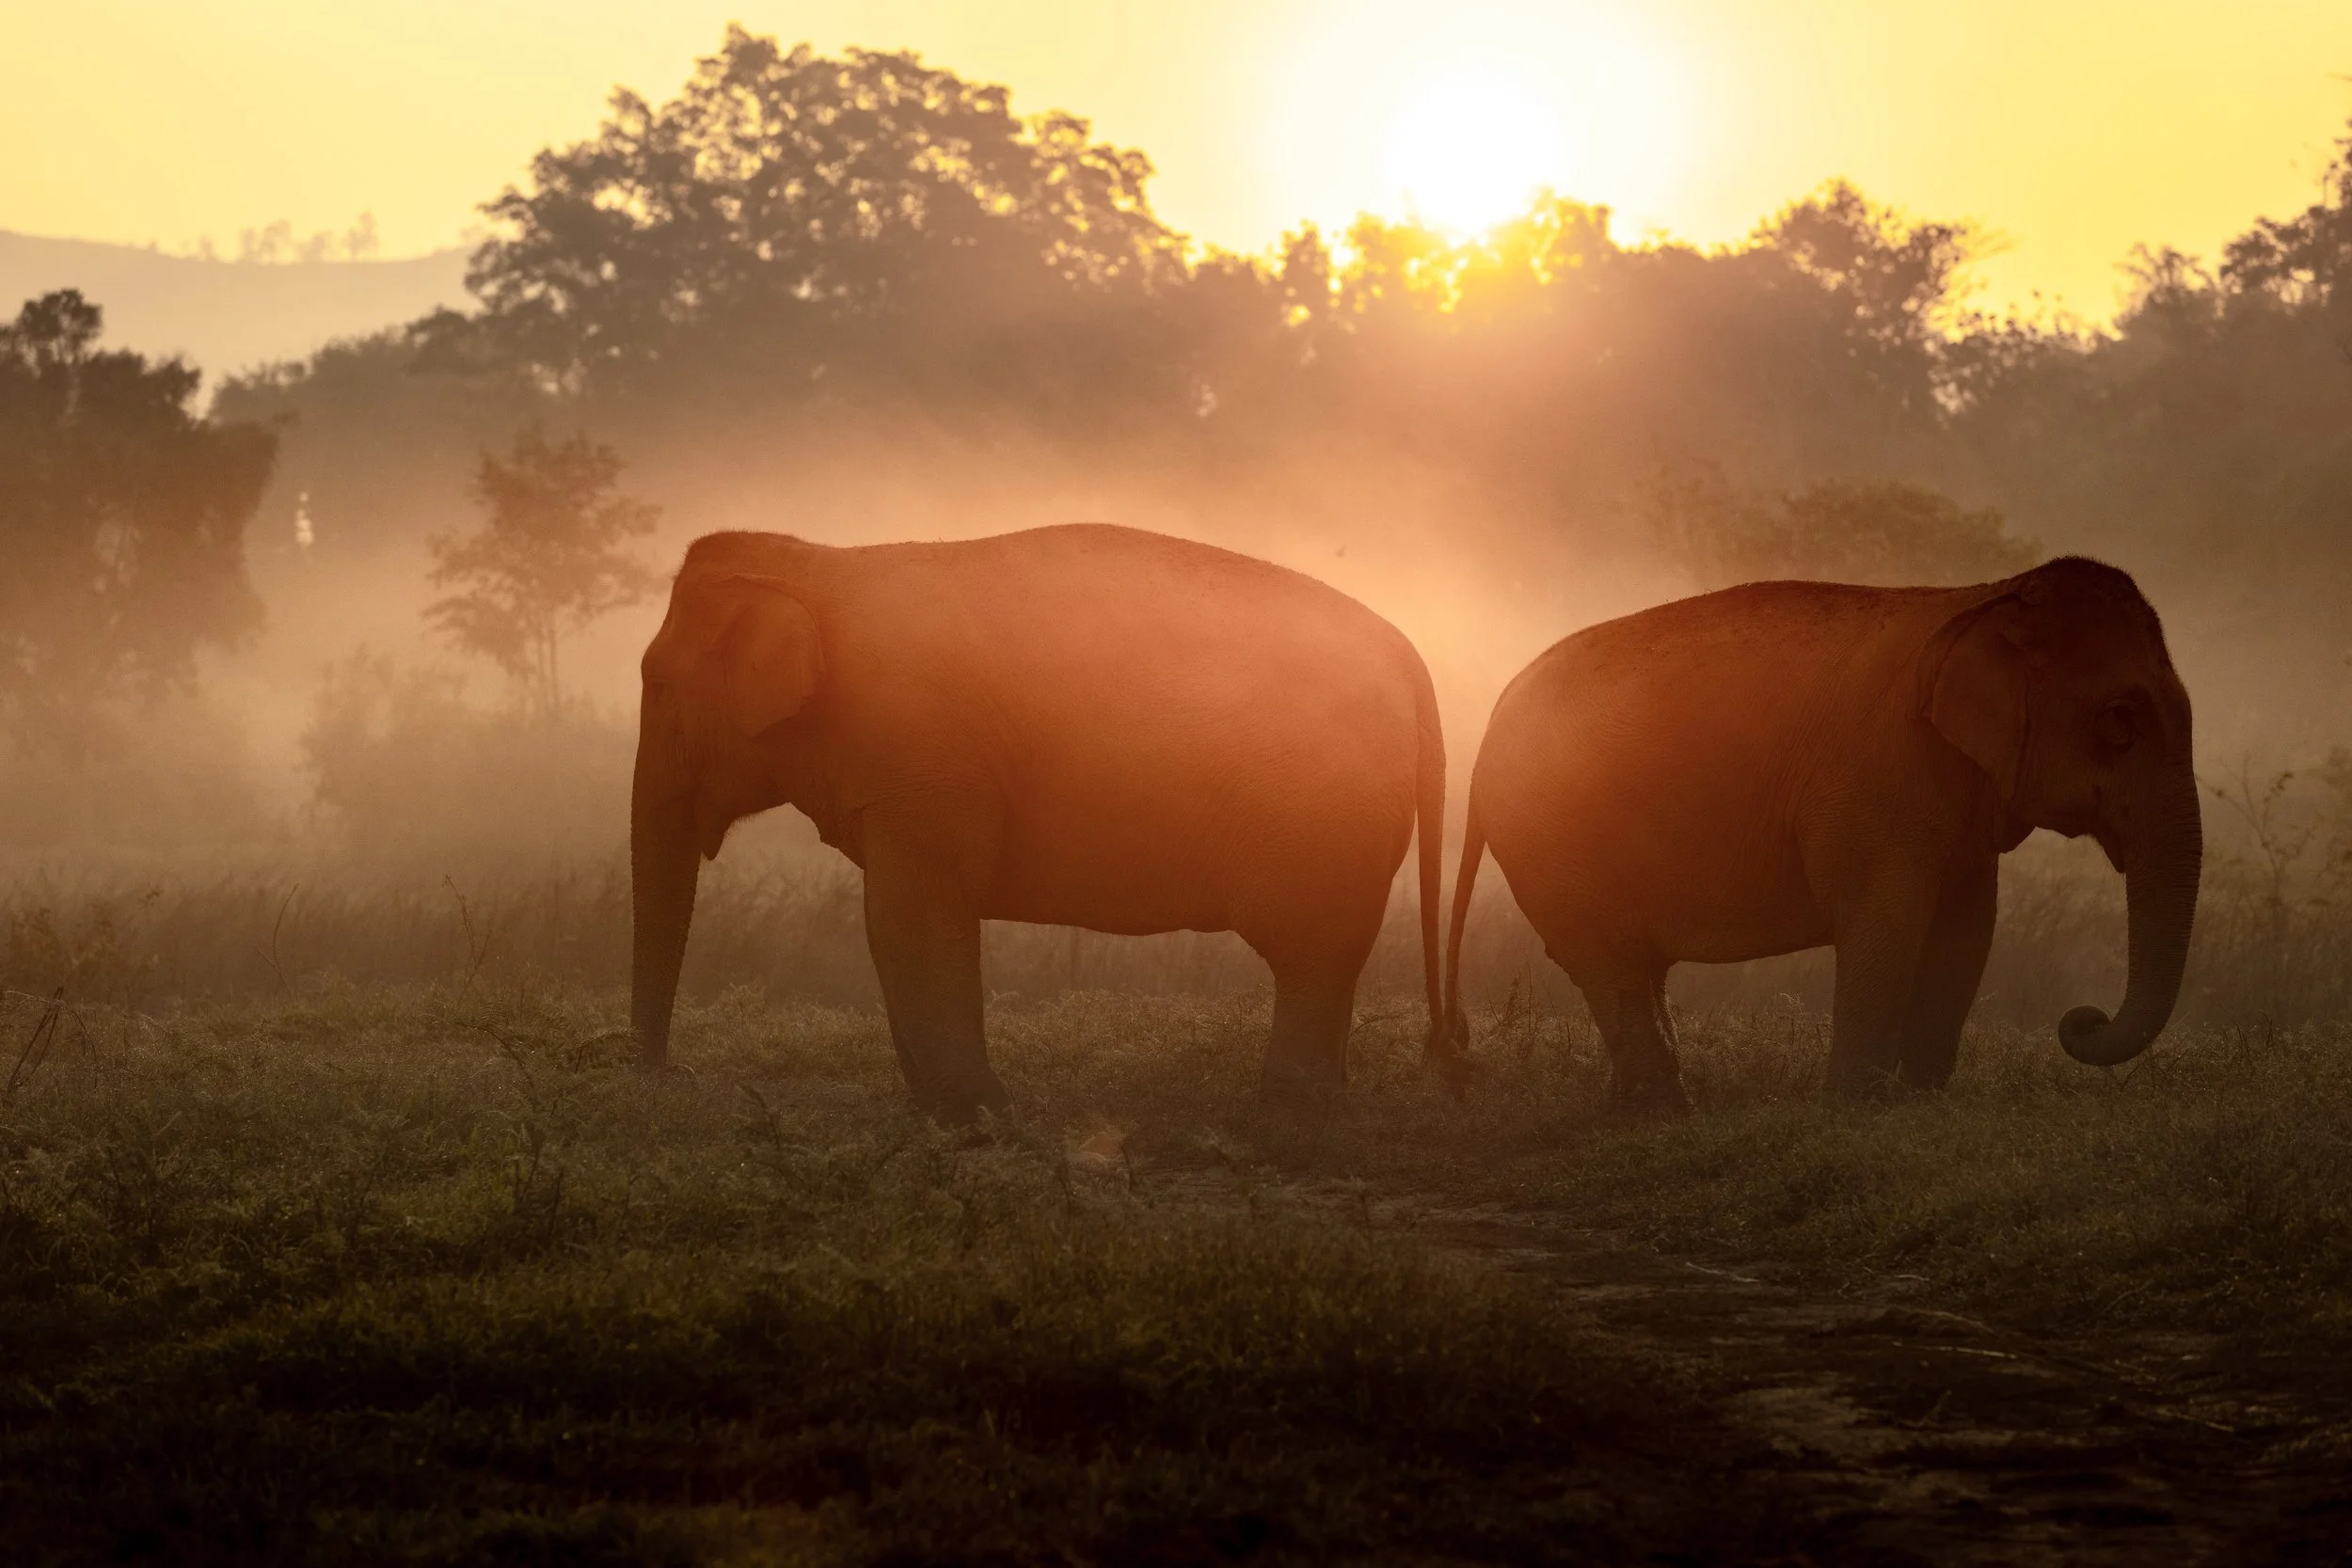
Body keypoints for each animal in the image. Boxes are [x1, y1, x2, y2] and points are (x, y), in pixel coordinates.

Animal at [633, 523, 1446, 1121]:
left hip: (1325, 812)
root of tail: (1410, 656)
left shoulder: (924, 771)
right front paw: (938, 1110)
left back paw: (1283, 1116)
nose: (676, 1074)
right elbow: (895, 926)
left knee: (1310, 954)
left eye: (657, 682)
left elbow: (908, 922)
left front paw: (977, 1115)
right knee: (1330, 957)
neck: (816, 564)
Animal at [1437, 556, 2200, 1110]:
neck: (1988, 597)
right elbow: (1884, 925)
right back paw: (1667, 1113)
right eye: (2120, 723)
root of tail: (1490, 727)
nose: (2081, 1020)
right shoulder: (1869, 786)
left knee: (1627, 963)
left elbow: (1966, 929)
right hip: (1549, 836)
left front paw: (1919, 1106)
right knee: (1609, 959)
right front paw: (1853, 1111)